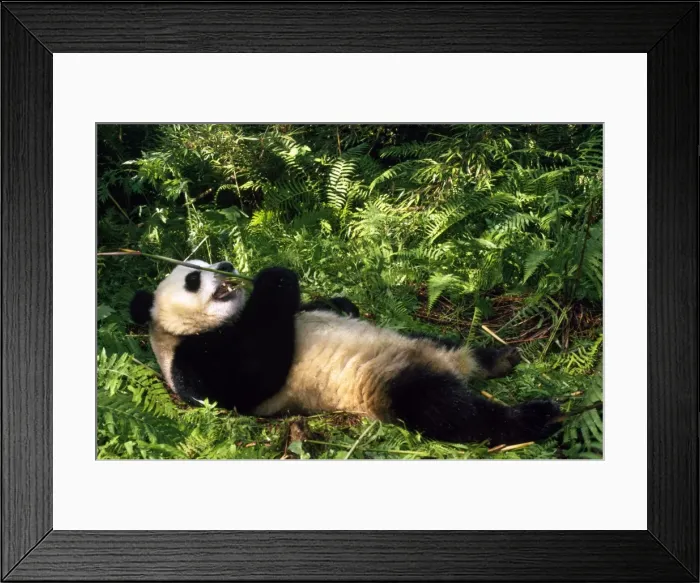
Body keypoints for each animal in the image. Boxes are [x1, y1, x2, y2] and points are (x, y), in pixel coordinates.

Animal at [130, 260, 562, 445]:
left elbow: (324, 307)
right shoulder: (193, 364)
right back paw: (538, 416)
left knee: (448, 346)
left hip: (415, 339)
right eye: (192, 277)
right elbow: (252, 374)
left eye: (208, 261)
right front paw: (276, 278)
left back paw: (498, 357)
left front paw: (340, 302)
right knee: (451, 412)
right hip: (390, 382)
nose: (225, 264)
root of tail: (447, 365)